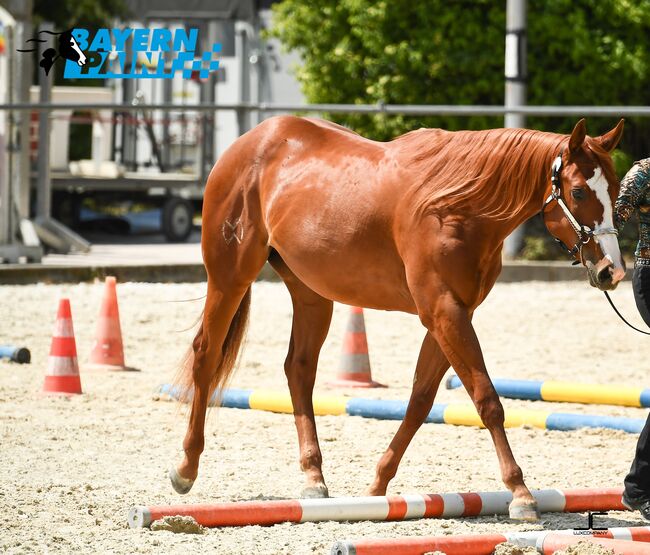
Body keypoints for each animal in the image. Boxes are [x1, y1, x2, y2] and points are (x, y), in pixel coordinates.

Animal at [171, 116, 624, 520]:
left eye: (617, 188)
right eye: (578, 191)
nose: (611, 272)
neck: (456, 207)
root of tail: (249, 142)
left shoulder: (451, 315)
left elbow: (421, 401)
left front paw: (377, 486)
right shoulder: (444, 311)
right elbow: (487, 400)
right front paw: (521, 493)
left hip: (312, 294)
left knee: (298, 369)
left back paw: (314, 478)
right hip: (229, 277)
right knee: (206, 354)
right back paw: (186, 468)